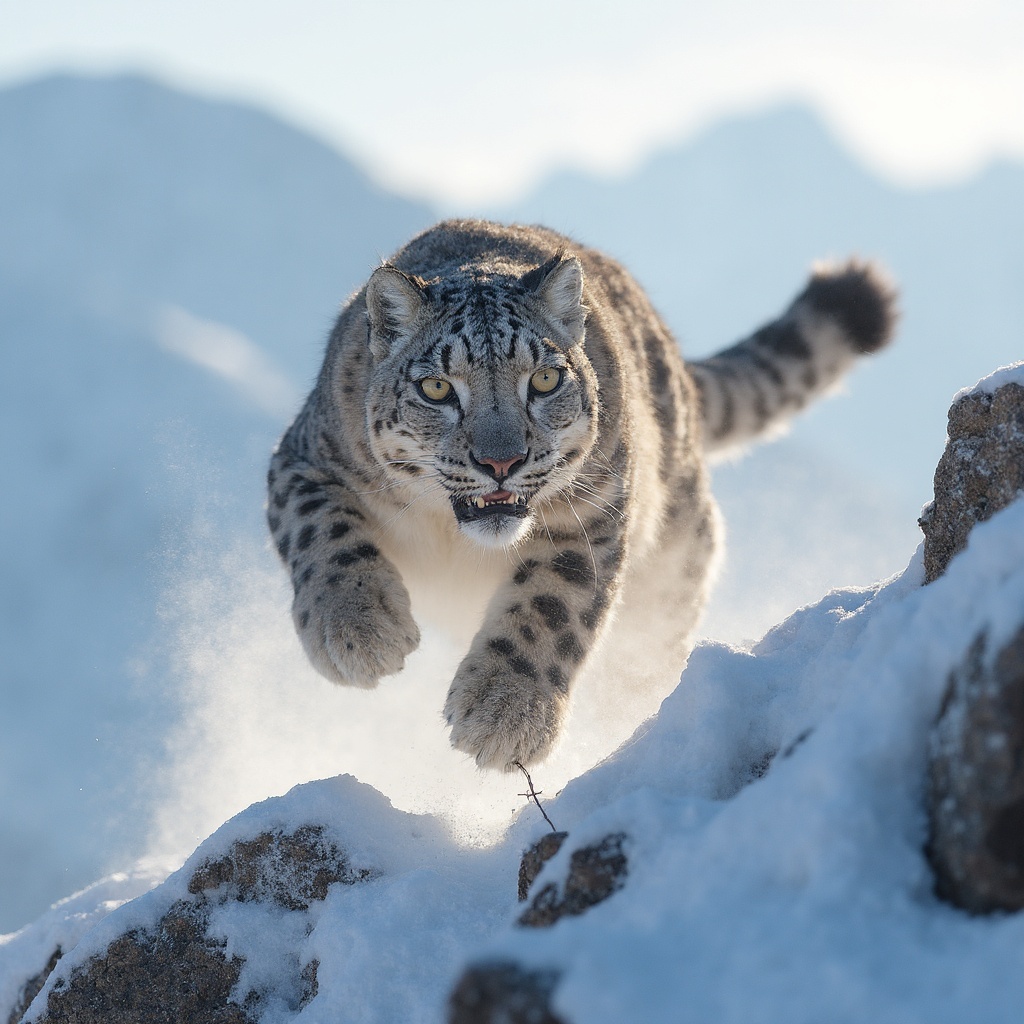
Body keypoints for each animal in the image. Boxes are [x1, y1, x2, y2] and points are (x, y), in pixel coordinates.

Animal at [267, 218, 895, 771]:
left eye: (544, 379)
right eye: (437, 388)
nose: (501, 461)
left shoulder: (591, 511)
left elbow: (551, 604)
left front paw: (502, 714)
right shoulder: (306, 459)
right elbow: (324, 532)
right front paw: (359, 633)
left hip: (672, 571)